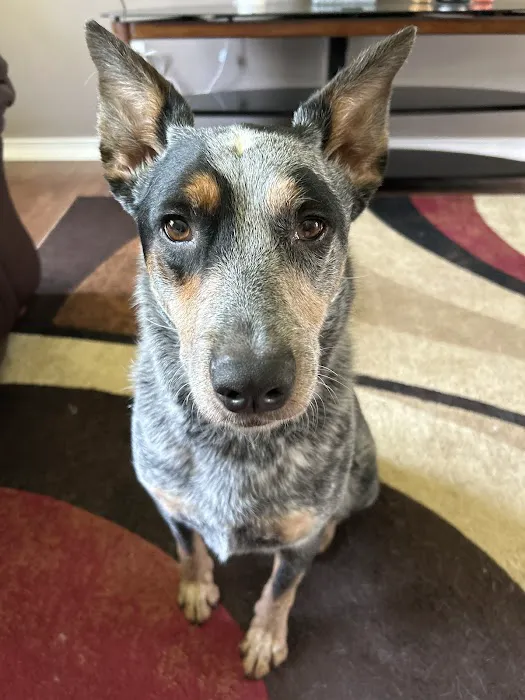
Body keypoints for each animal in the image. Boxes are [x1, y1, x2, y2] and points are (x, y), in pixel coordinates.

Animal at [86, 21, 415, 679]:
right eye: (176, 225)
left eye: (313, 224)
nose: (254, 384)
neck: (233, 451)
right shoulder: (167, 502)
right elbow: (187, 545)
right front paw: (194, 587)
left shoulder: (297, 539)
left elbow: (282, 587)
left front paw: (264, 637)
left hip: (366, 471)